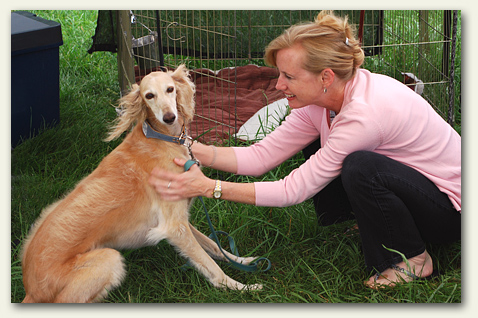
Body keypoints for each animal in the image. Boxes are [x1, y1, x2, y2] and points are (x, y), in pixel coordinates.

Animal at [20, 64, 262, 304]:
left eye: (170, 89)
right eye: (149, 95)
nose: (169, 117)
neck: (162, 138)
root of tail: (31, 290)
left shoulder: (180, 217)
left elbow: (214, 247)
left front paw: (243, 261)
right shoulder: (174, 227)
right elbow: (211, 266)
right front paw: (241, 287)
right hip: (108, 258)